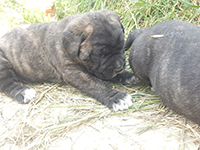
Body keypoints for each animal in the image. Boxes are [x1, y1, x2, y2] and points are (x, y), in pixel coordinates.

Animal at [0, 9, 136, 110]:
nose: (119, 67)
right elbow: (95, 84)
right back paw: (22, 91)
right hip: (3, 63)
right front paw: (116, 97)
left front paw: (127, 75)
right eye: (98, 54)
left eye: (122, 46)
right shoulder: (73, 72)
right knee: (6, 83)